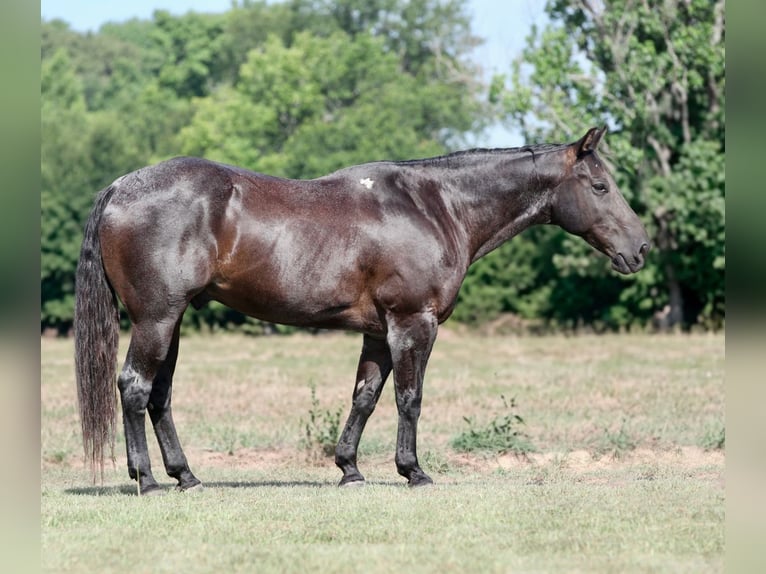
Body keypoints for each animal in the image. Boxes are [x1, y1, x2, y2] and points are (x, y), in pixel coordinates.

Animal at [74, 126, 649, 494]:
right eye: (601, 186)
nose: (641, 248)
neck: (435, 205)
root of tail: (121, 187)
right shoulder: (413, 323)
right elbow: (409, 399)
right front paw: (413, 471)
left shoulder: (378, 332)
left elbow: (365, 397)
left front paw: (349, 469)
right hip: (156, 318)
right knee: (134, 387)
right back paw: (148, 480)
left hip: (172, 321)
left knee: (160, 396)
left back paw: (186, 476)